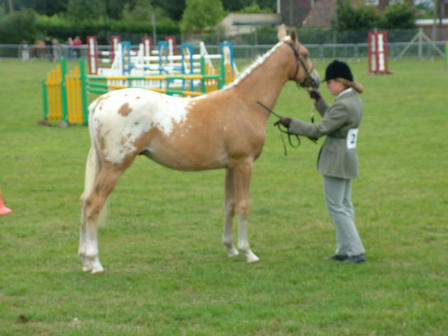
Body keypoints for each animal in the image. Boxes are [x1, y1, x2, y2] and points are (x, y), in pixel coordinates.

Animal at [79, 25, 320, 272]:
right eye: (305, 54)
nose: (316, 81)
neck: (246, 102)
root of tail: (100, 102)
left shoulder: (231, 166)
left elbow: (230, 205)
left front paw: (230, 248)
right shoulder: (244, 163)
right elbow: (244, 205)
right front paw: (248, 251)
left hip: (104, 166)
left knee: (85, 202)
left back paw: (85, 260)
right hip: (115, 167)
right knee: (93, 204)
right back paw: (94, 261)